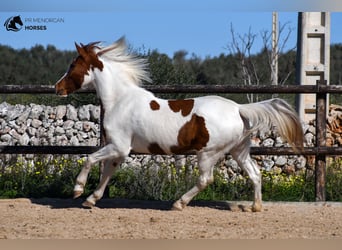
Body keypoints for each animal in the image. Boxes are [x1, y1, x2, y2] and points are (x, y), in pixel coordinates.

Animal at [54, 36, 304, 211]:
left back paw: (178, 203)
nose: (57, 88)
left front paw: (78, 190)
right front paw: (91, 200)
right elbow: (107, 173)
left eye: (73, 65)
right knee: (255, 174)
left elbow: (90, 159)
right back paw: (255, 207)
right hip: (238, 150)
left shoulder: (119, 146)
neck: (119, 100)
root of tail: (238, 108)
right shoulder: (118, 150)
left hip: (208, 153)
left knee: (206, 179)